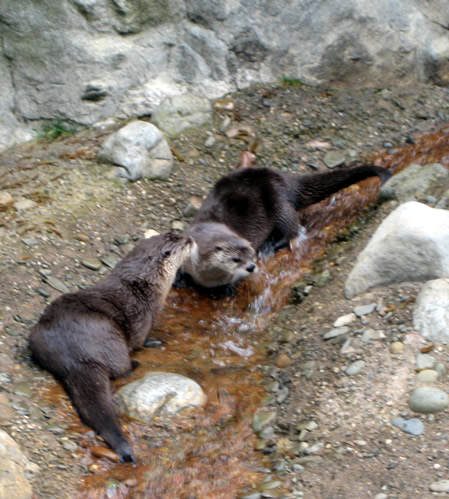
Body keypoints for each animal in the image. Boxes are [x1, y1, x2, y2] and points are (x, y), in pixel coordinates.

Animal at [28, 232, 195, 462]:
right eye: (184, 242)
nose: (193, 239)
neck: (146, 285)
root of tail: (77, 356)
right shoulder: (144, 316)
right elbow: (140, 340)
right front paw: (154, 341)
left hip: (37, 336)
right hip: (112, 338)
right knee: (121, 368)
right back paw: (134, 364)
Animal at [178, 164, 388, 296]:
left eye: (251, 255)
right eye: (235, 259)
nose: (251, 267)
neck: (205, 277)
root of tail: (284, 178)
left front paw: (225, 289)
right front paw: (179, 278)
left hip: (278, 199)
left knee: (290, 224)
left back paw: (273, 245)